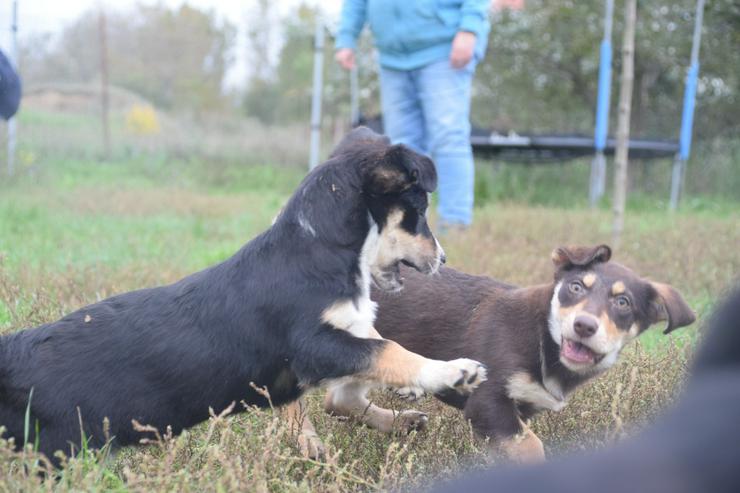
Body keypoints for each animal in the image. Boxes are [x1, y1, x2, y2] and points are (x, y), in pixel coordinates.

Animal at [0, 126, 488, 462]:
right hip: (63, 449)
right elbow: (388, 351)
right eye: (420, 211)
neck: (320, 247)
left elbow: (357, 382)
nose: (443, 258)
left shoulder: (336, 341)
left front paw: (402, 414)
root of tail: (15, 351)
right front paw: (452, 372)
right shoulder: (314, 346)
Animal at [322, 245, 692, 462]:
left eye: (623, 303)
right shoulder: (487, 403)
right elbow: (532, 447)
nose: (584, 326)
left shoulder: (519, 413)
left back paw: (400, 421)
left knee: (338, 400)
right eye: (575, 288)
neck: (543, 338)